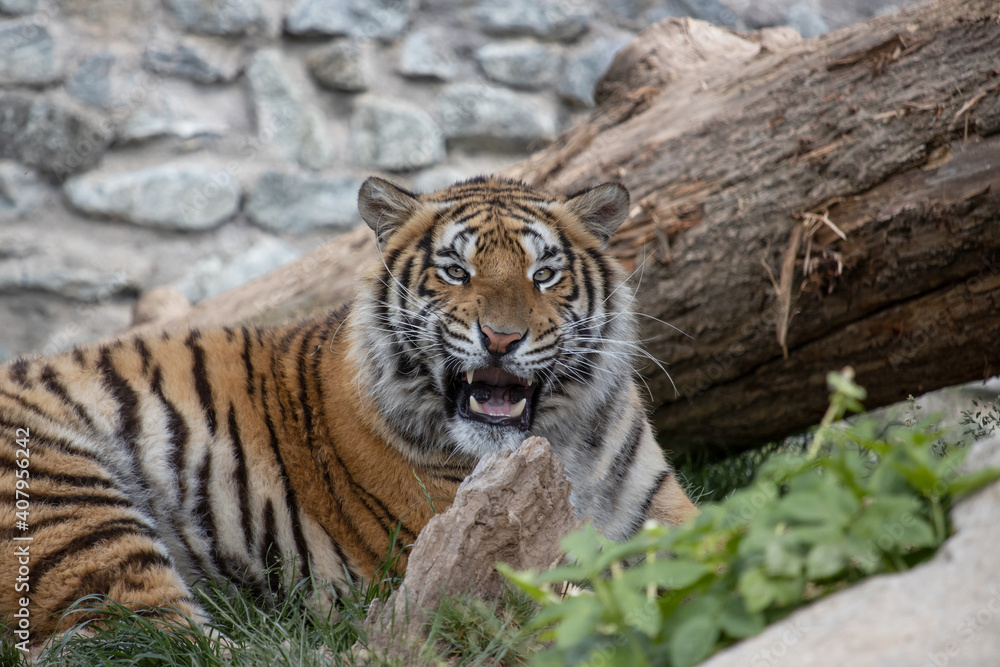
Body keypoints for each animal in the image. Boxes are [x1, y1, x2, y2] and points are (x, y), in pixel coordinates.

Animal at [0, 175, 697, 648]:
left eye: (544, 274)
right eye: (455, 270)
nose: (501, 339)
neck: (560, 444)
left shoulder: (658, 509)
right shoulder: (472, 534)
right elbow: (596, 595)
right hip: (75, 508)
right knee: (149, 636)